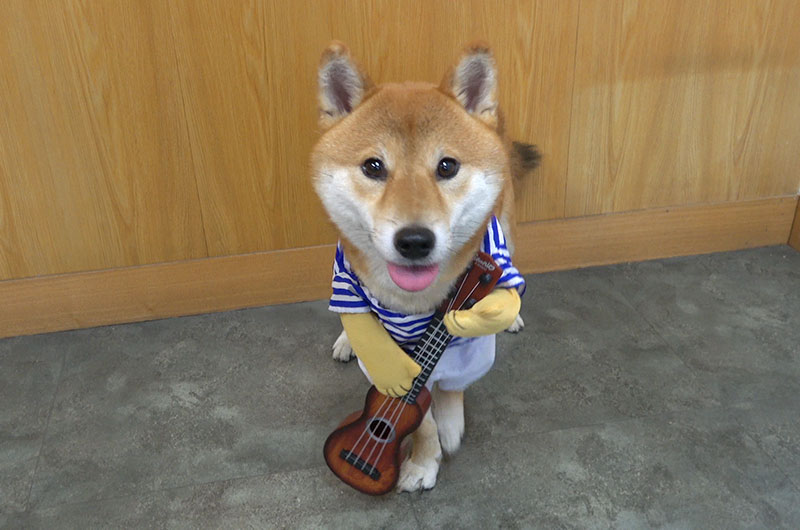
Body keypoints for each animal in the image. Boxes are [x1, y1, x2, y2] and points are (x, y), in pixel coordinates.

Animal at [310, 41, 536, 490]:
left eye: (447, 166)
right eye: (373, 166)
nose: (414, 241)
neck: (412, 302)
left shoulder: (470, 326)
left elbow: (448, 384)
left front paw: (448, 423)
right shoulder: (371, 331)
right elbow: (415, 404)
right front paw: (422, 458)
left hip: (506, 225)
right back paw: (346, 339)